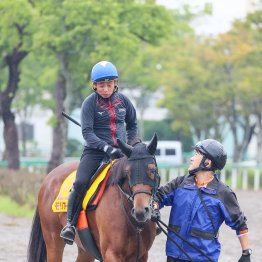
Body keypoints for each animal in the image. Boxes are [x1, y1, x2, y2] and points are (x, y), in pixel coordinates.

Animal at [28, 134, 160, 260]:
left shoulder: (142, 255)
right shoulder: (111, 254)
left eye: (152, 170)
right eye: (127, 172)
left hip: (86, 250)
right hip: (54, 243)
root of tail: (48, 177)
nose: (140, 211)